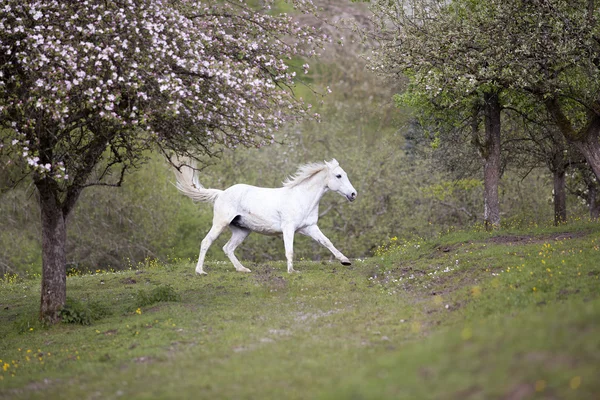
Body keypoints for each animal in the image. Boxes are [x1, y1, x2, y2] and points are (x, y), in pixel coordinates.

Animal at [176, 159, 358, 276]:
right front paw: (292, 271)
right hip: (220, 223)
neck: (301, 197)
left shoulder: (310, 227)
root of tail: (221, 193)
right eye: (338, 176)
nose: (353, 194)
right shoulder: (288, 228)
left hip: (242, 231)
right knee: (206, 242)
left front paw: (345, 261)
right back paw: (200, 271)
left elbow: (327, 242)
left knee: (228, 248)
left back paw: (242, 269)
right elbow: (289, 250)